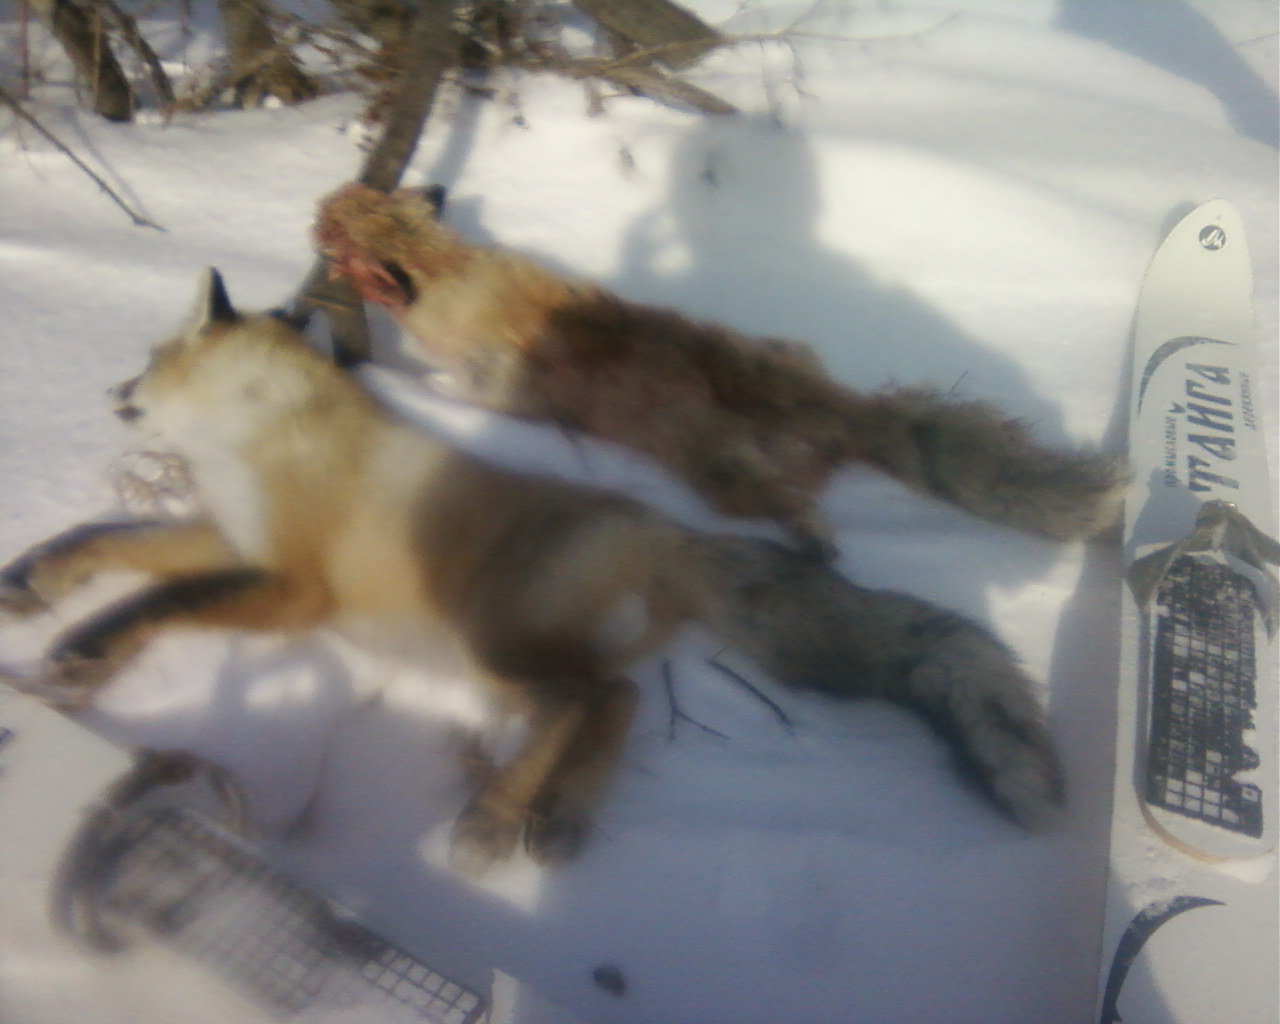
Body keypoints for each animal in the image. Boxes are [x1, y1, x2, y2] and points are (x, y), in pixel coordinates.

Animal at [0, 270, 1064, 871]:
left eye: (151, 358)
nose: (113, 390)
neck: (263, 439)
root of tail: (660, 527)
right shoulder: (230, 539)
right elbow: (106, 543)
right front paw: (38, 589)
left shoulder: (296, 587)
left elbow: (162, 598)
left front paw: (87, 646)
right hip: (505, 658)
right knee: (610, 701)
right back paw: (553, 817)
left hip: (491, 646)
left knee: (592, 701)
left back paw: (493, 819)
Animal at [312, 182, 1126, 556]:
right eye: (344, 207)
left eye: (336, 228)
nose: (317, 208)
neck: (452, 273)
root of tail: (834, 418)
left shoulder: (498, 388)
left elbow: (466, 394)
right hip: (766, 384)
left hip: (719, 474)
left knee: (785, 510)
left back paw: (813, 543)